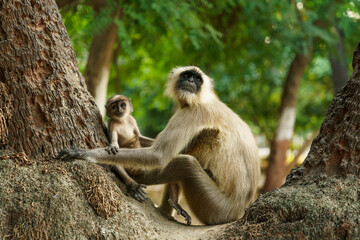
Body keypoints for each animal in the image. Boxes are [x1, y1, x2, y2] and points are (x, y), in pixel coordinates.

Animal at [57, 65, 260, 225]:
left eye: (197, 79)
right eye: (187, 76)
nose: (191, 81)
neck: (204, 99)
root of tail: (240, 209)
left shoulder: (192, 112)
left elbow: (159, 156)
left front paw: (83, 153)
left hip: (215, 207)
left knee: (186, 161)